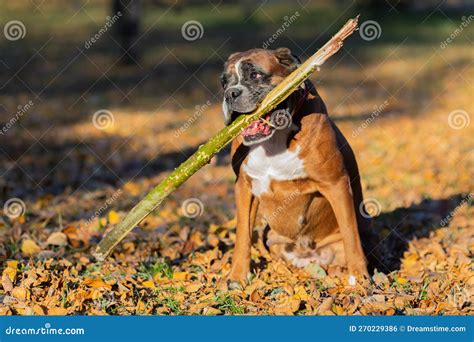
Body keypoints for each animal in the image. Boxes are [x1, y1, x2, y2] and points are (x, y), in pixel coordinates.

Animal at [220, 46, 372, 284]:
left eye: (255, 75)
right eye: (224, 83)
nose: (229, 94)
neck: (274, 140)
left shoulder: (336, 183)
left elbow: (350, 235)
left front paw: (359, 280)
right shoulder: (244, 187)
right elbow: (242, 235)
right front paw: (237, 277)